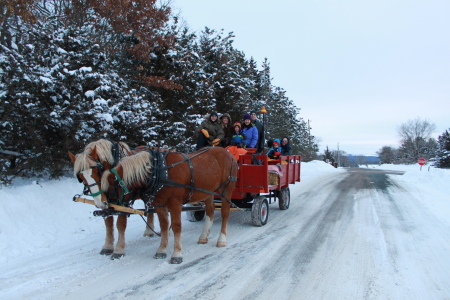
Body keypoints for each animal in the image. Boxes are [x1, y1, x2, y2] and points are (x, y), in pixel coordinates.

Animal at [100, 146, 237, 264]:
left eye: (112, 193)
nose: (106, 210)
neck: (159, 171)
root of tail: (228, 153)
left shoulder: (175, 202)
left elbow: (176, 226)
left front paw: (177, 255)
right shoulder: (159, 204)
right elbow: (164, 225)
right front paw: (161, 250)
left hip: (227, 189)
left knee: (225, 212)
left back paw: (222, 240)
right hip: (209, 191)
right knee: (210, 210)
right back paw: (203, 237)